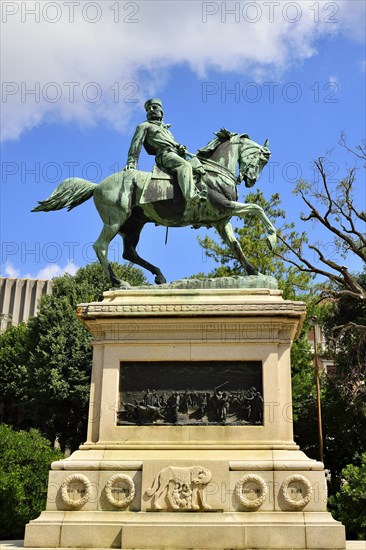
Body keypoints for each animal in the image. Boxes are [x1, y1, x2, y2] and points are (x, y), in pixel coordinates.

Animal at [33, 127, 276, 286]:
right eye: (261, 159)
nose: (251, 180)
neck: (216, 171)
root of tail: (97, 186)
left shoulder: (221, 220)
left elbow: (236, 246)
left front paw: (254, 272)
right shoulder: (225, 206)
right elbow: (256, 208)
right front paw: (272, 239)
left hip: (133, 225)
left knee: (129, 253)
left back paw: (158, 275)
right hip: (115, 221)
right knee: (100, 246)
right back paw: (118, 281)